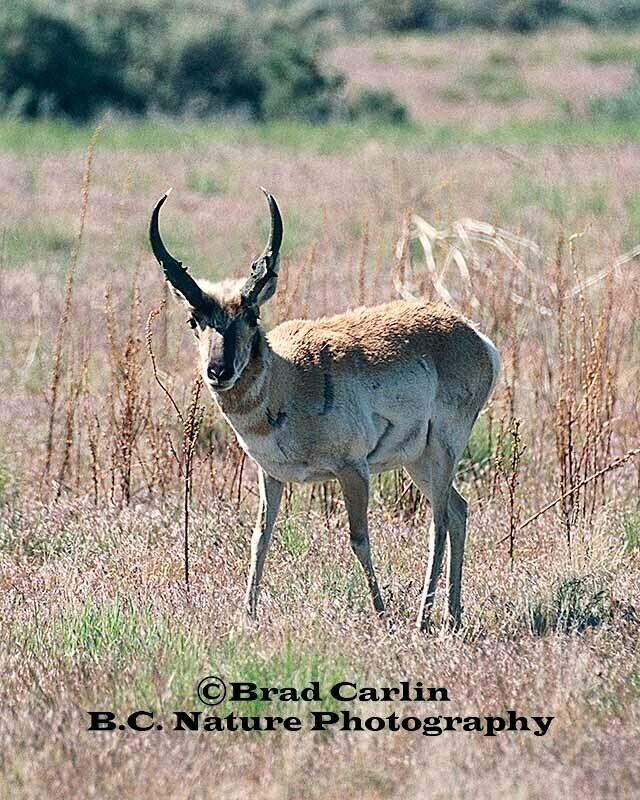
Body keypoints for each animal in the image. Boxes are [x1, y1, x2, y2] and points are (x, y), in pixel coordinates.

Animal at [149, 189, 499, 630]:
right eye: (195, 320)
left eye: (251, 313)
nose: (218, 371)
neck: (290, 378)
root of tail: (476, 338)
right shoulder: (271, 476)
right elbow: (260, 538)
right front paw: (247, 615)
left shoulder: (353, 470)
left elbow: (359, 538)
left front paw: (381, 613)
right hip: (417, 461)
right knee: (458, 510)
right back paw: (452, 615)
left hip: (441, 451)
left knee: (437, 522)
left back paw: (423, 619)